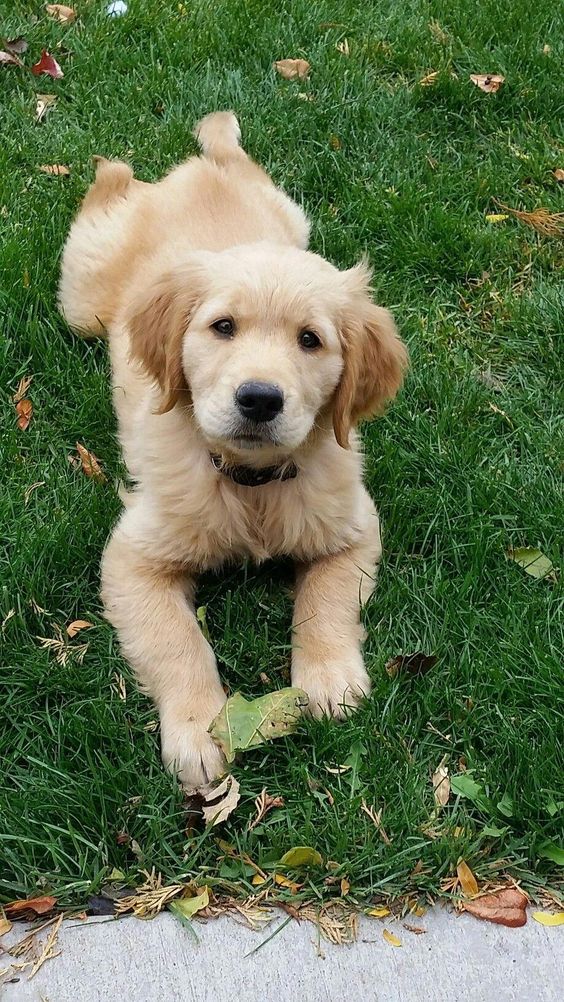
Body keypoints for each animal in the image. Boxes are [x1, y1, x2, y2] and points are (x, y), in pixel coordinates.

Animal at [59, 111, 408, 789]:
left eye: (310, 340)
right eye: (223, 327)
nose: (259, 399)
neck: (252, 483)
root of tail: (205, 169)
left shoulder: (353, 526)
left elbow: (325, 601)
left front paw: (330, 679)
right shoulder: (133, 558)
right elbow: (178, 641)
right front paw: (198, 731)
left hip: (292, 214)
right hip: (81, 300)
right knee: (109, 189)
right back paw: (110, 168)